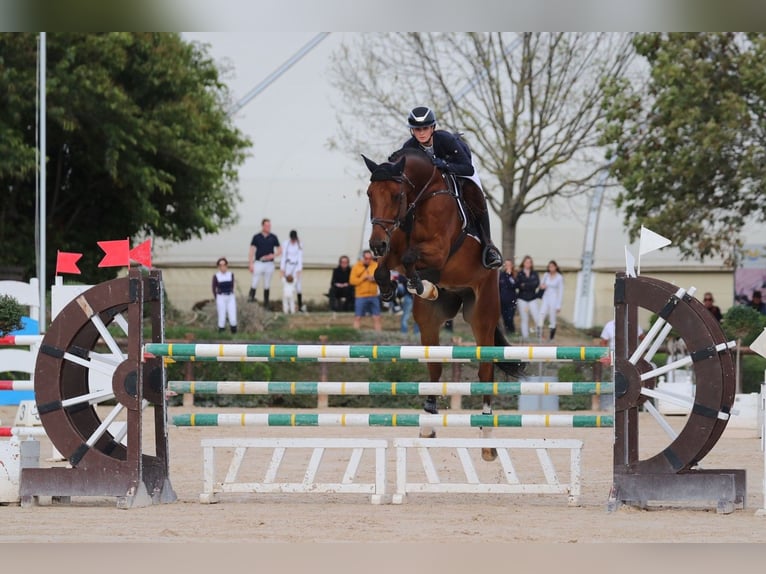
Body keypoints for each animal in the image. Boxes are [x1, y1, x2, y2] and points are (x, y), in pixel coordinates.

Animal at [364, 148, 524, 464]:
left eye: (396, 196)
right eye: (369, 194)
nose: (376, 245)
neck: (420, 198)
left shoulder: (438, 251)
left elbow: (412, 257)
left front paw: (421, 284)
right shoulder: (394, 249)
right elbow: (384, 269)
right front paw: (405, 288)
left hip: (482, 315)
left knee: (485, 372)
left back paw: (488, 441)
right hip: (429, 321)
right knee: (434, 367)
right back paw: (427, 425)